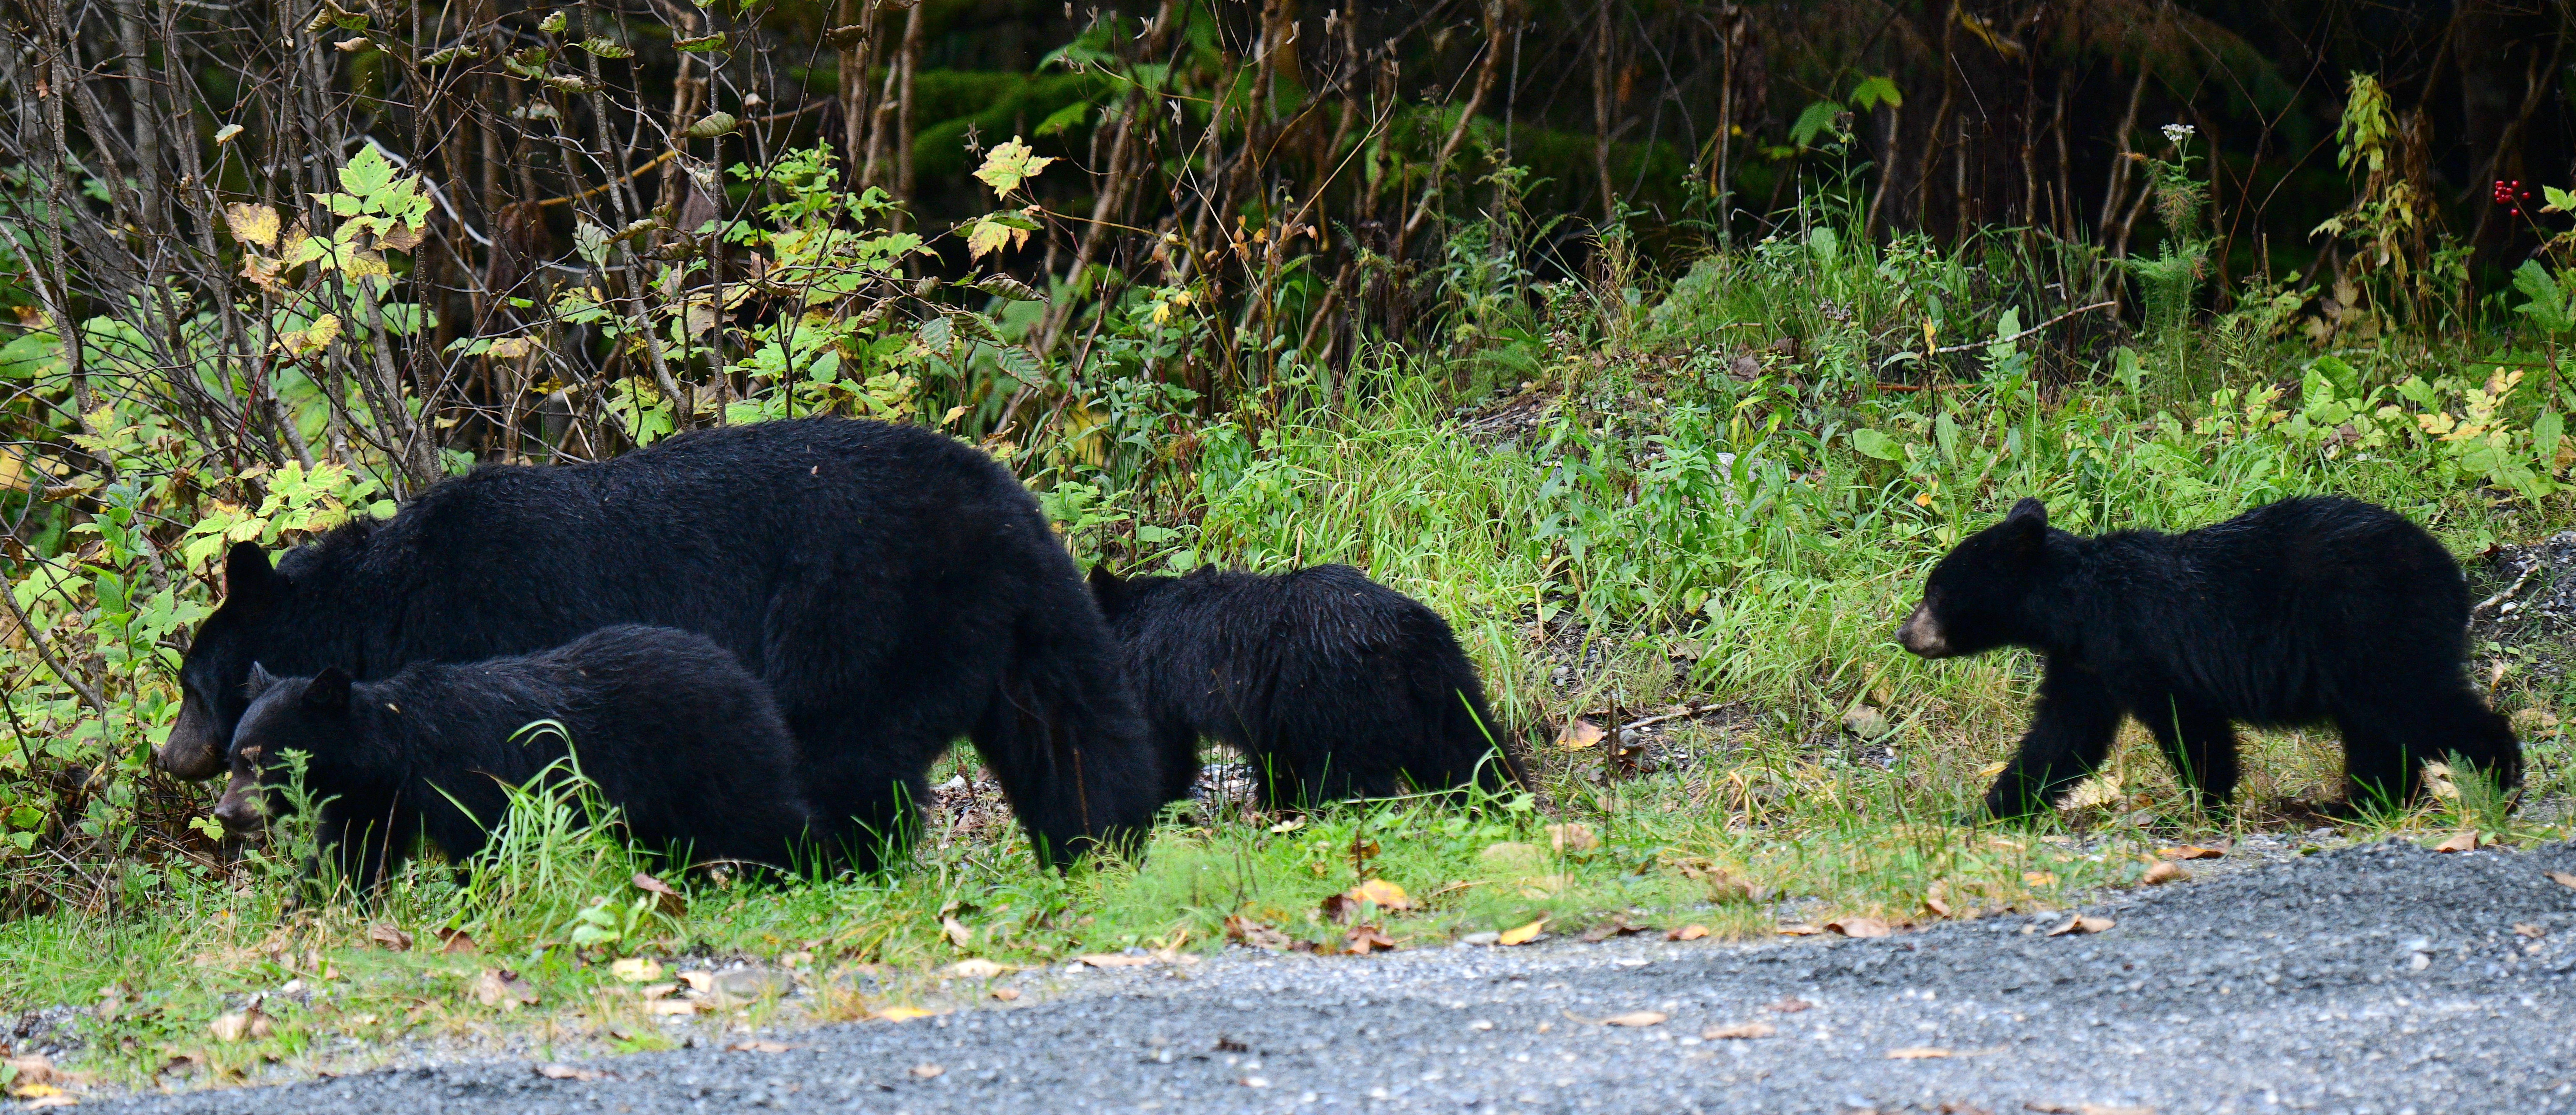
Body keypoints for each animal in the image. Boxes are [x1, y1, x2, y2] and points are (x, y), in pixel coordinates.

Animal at [213, 626, 823, 887]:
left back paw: (813, 868)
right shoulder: (370, 801)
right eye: (234, 758)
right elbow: (349, 855)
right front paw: (317, 905)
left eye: (258, 760)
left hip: (709, 751)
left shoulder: (468, 779)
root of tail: (742, 674)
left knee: (760, 813)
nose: (225, 813)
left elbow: (485, 846)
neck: (395, 754)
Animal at [1086, 563, 1525, 808]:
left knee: (1350, 785)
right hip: (1446, 684)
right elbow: (1275, 764)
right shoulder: (1271, 714)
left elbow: (1159, 748)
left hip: (1341, 705)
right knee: (1473, 752)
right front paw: (1280, 810)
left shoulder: (1156, 688)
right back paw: (1504, 803)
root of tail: (1400, 636)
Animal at [1897, 496, 2520, 819]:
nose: (1904, 634)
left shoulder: (2138, 646)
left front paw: (2207, 804)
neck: (2074, 605)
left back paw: (2499, 778)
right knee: (2377, 729)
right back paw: (2364, 804)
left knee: (2416, 705)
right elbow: (2062, 737)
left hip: (2373, 627)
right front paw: (1991, 810)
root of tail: (2454, 575)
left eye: (1935, 592)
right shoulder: (2084, 662)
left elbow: (2190, 725)